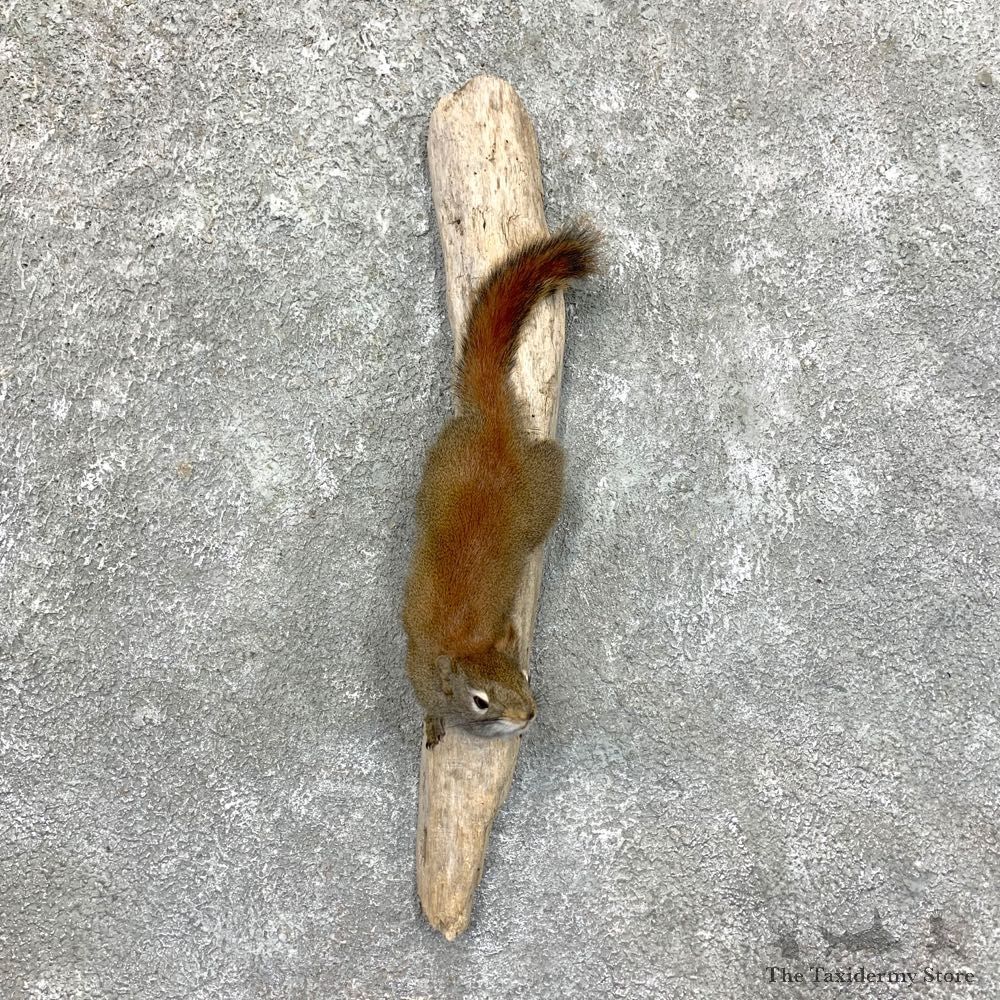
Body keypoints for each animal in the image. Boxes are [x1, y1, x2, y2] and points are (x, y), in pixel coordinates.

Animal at [402, 222, 600, 748]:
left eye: (525, 675)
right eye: (480, 701)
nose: (529, 714)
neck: (460, 641)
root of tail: (493, 427)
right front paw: (432, 721)